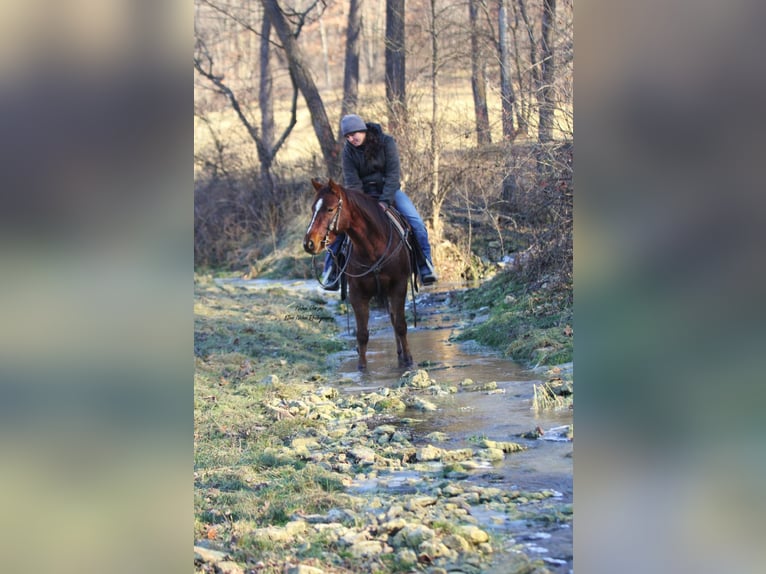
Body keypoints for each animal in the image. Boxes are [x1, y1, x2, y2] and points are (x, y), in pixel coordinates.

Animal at [304, 178, 416, 372]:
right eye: (313, 208)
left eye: (330, 209)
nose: (309, 243)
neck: (373, 247)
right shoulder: (357, 294)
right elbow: (362, 334)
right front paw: (362, 368)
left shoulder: (399, 287)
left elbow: (401, 325)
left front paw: (408, 360)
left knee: (395, 320)